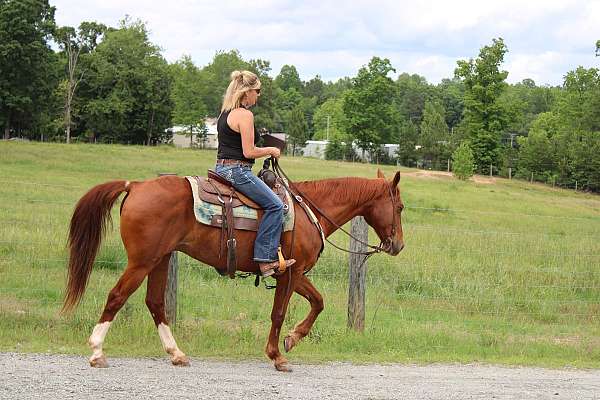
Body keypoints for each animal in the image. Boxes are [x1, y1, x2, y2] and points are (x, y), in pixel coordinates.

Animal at [63, 167, 406, 370]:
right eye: (400, 207)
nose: (398, 245)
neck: (309, 210)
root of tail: (135, 186)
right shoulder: (289, 273)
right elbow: (279, 313)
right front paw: (278, 354)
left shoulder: (294, 272)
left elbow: (318, 302)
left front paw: (293, 338)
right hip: (142, 261)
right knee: (117, 296)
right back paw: (97, 352)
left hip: (161, 259)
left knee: (155, 303)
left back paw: (176, 353)